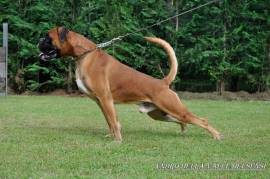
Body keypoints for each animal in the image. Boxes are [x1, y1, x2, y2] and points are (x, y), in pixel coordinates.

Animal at [38, 26, 220, 142]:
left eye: (48, 38)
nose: (38, 41)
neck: (85, 54)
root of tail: (163, 83)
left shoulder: (106, 99)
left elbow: (114, 121)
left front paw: (117, 141)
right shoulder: (101, 102)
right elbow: (110, 122)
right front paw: (111, 137)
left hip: (174, 108)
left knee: (201, 120)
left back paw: (217, 136)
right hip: (160, 114)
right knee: (183, 121)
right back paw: (184, 130)